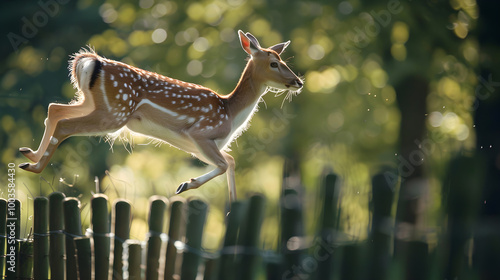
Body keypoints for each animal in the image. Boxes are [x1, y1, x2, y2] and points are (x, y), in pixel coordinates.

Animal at [18, 30, 300, 201]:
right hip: (114, 114)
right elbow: (223, 163)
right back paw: (34, 166)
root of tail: (90, 61)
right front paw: (185, 185)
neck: (229, 112)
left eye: (283, 60)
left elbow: (229, 161)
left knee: (54, 108)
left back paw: (28, 155)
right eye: (274, 63)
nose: (298, 81)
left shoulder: (194, 144)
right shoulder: (200, 133)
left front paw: (232, 205)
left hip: (93, 103)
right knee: (65, 123)